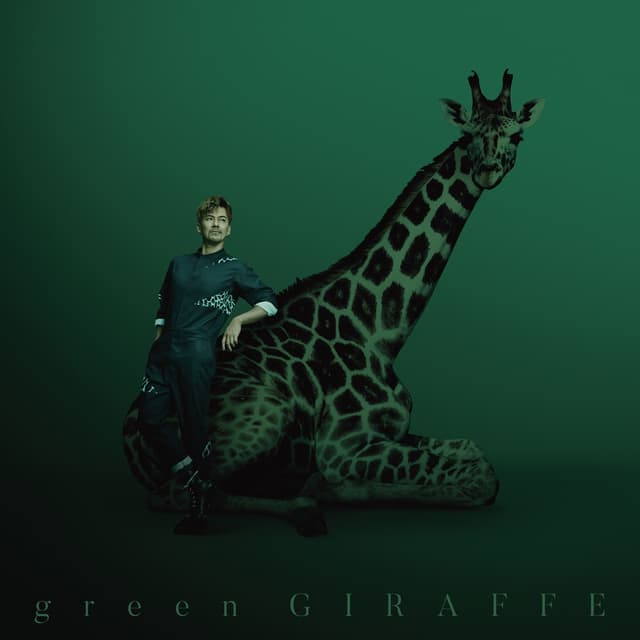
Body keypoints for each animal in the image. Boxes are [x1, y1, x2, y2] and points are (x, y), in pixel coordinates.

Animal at [123, 69, 544, 535]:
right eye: (468, 134)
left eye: (517, 135)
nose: (487, 170)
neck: (379, 331)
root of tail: (127, 436)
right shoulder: (344, 447)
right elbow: (481, 476)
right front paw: (336, 488)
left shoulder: (394, 432)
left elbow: (473, 451)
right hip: (264, 415)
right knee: (183, 492)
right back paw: (304, 505)